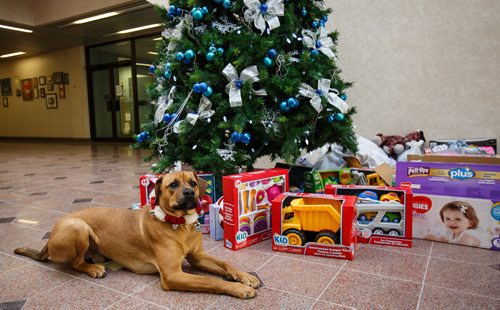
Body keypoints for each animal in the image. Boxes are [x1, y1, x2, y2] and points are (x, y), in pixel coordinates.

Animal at [14, 171, 260, 300]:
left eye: (192, 182)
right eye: (173, 184)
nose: (190, 193)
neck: (179, 225)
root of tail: (51, 235)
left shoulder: (197, 257)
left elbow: (226, 264)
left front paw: (244, 277)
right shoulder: (172, 275)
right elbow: (211, 281)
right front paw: (239, 288)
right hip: (78, 226)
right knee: (75, 262)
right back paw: (93, 268)